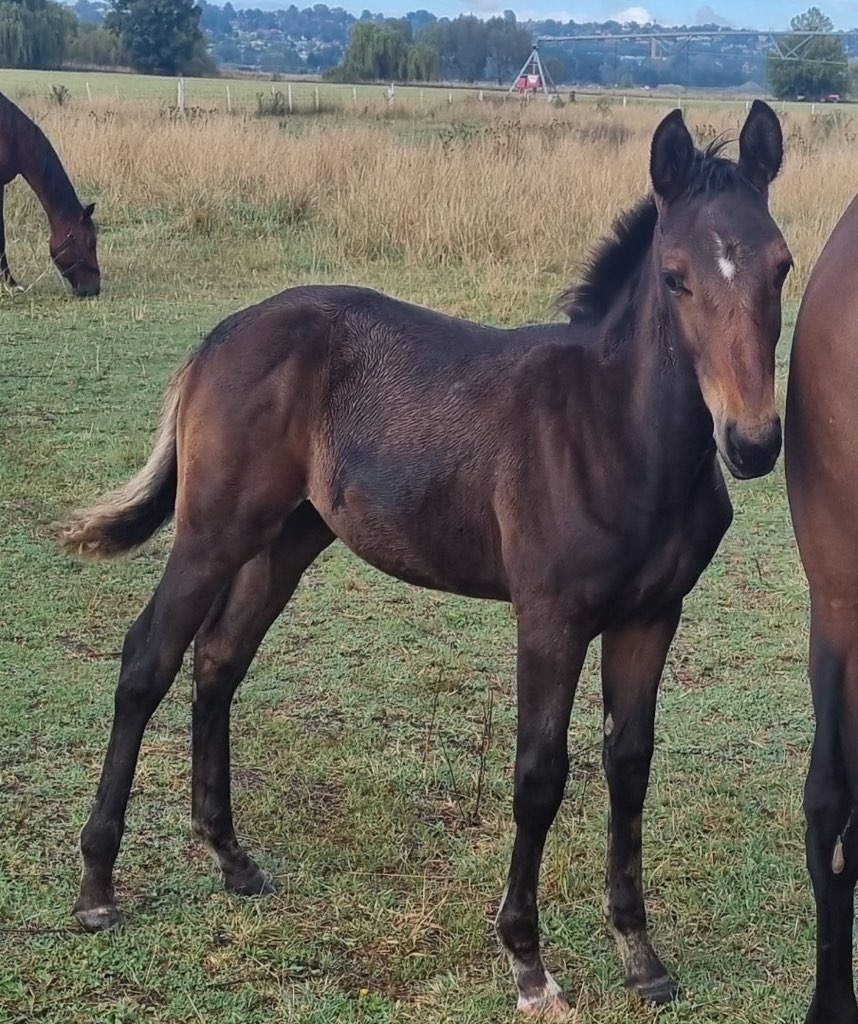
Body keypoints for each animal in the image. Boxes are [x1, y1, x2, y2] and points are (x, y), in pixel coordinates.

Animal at [60, 101, 790, 1018]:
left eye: (782, 267)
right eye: (676, 276)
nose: (753, 442)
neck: (619, 433)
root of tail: (225, 333)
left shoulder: (652, 616)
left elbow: (629, 767)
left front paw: (640, 954)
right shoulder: (550, 618)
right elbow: (540, 775)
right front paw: (527, 962)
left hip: (288, 536)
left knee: (220, 659)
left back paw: (231, 858)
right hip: (212, 530)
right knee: (148, 659)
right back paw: (96, 887)